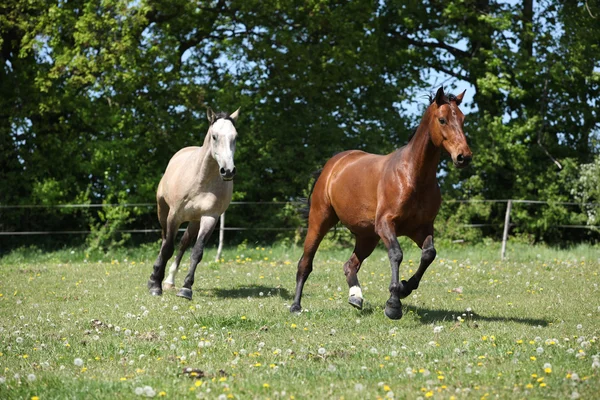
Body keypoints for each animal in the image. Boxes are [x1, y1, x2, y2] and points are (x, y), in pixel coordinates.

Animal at [147, 106, 239, 300]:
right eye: (214, 136)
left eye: (235, 136)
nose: (228, 171)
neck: (201, 181)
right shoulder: (174, 216)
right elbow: (167, 248)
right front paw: (154, 285)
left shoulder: (210, 218)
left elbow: (197, 251)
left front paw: (186, 288)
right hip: (163, 211)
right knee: (165, 240)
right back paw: (156, 278)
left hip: (195, 221)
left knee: (183, 243)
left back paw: (170, 281)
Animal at [292, 87, 474, 318]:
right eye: (442, 120)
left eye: (463, 119)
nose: (464, 157)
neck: (412, 176)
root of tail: (332, 165)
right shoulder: (386, 224)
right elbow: (396, 254)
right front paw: (393, 304)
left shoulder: (421, 228)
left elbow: (429, 254)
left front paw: (405, 288)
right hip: (320, 221)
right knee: (305, 263)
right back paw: (296, 306)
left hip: (367, 236)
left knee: (350, 264)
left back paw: (356, 296)